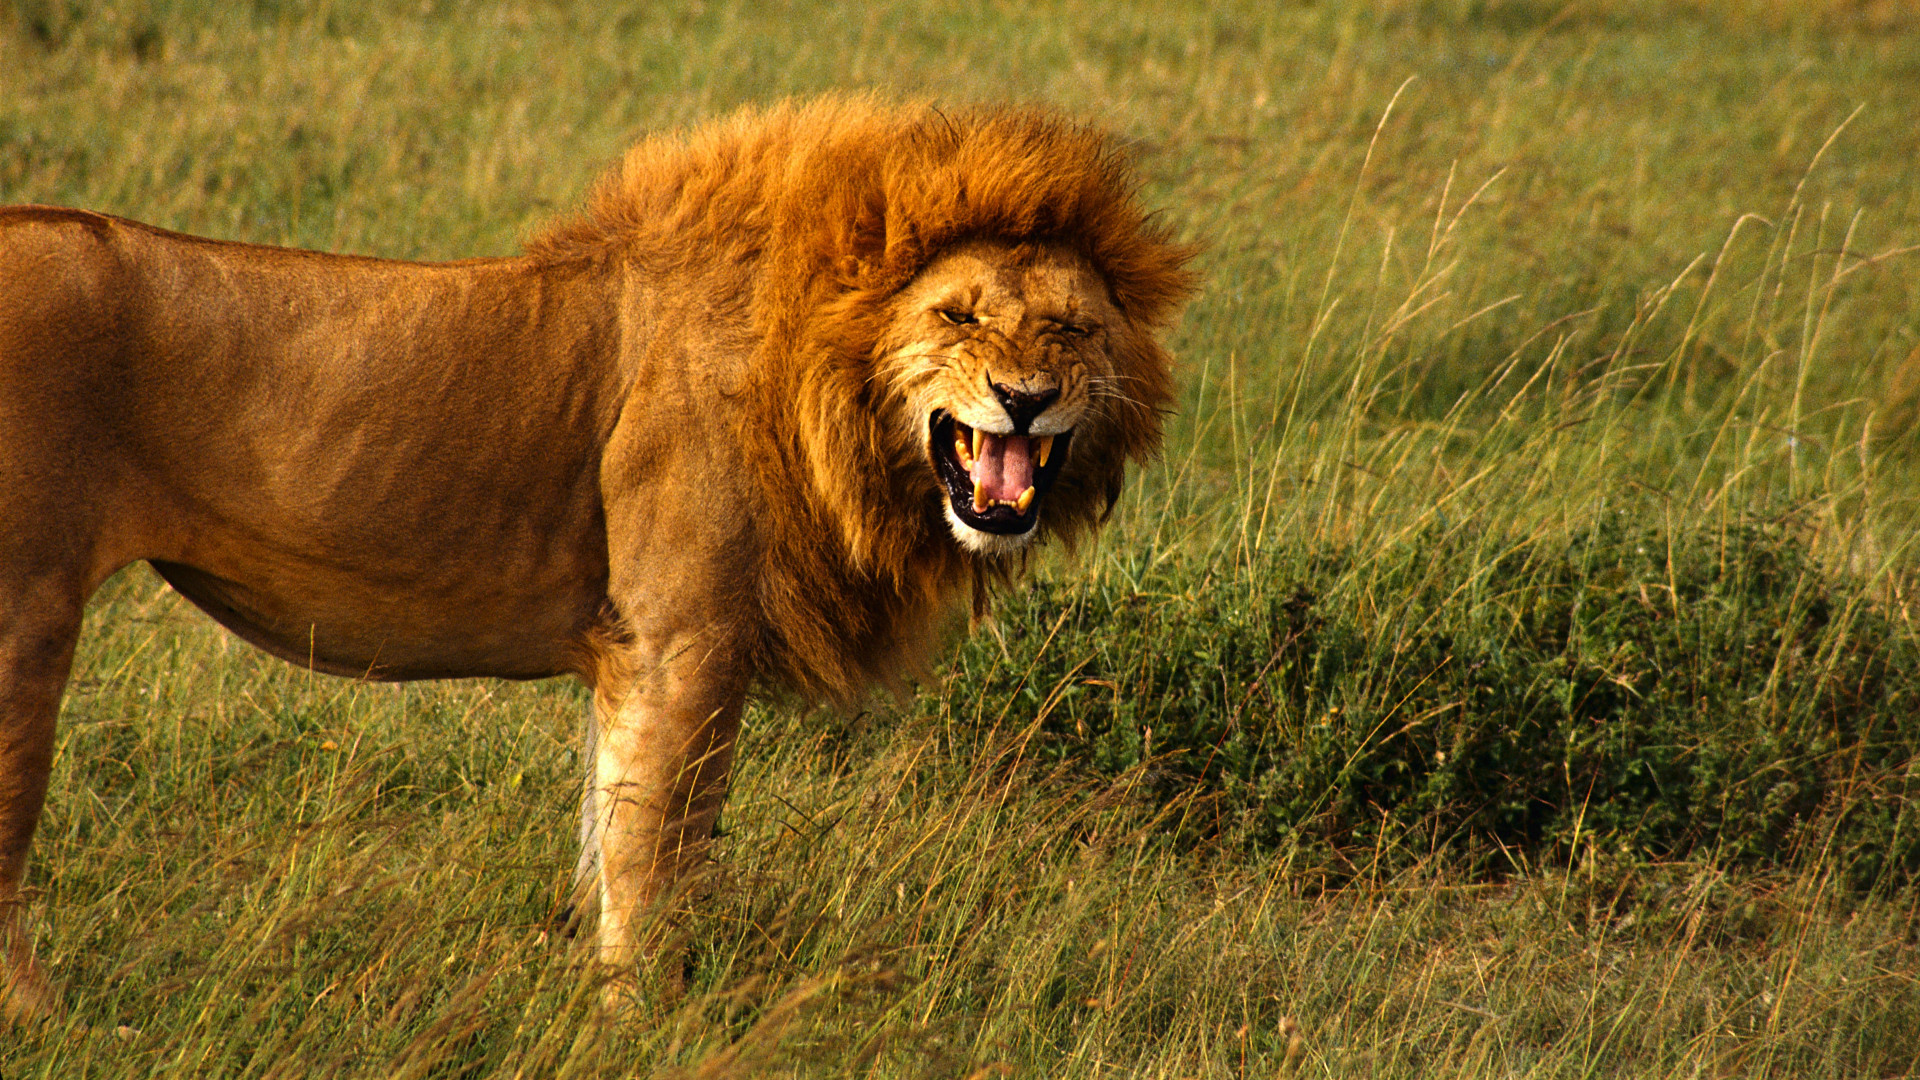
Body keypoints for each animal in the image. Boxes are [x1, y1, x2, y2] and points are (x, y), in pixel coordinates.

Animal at [0, 95, 1194, 1018]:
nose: (1025, 398)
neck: (824, 391)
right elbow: (658, 857)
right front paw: (644, 1022)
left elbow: (606, 834)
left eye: (1070, 330)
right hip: (26, 618)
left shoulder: (631, 657)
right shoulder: (684, 643)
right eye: (956, 316)